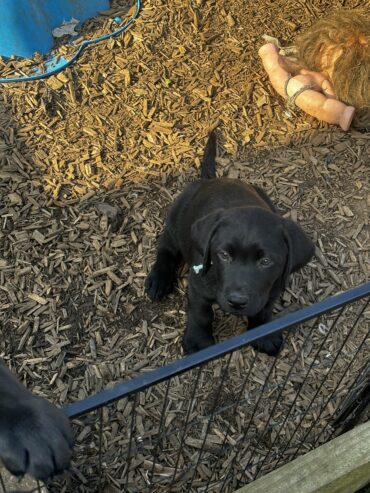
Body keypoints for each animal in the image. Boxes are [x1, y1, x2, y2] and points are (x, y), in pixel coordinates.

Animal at [146, 132, 314, 354]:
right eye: (224, 255)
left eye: (266, 262)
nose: (237, 301)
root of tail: (210, 180)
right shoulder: (198, 283)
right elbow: (201, 313)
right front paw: (198, 341)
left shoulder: (272, 289)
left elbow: (263, 311)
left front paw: (264, 335)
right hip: (176, 220)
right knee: (166, 248)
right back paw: (159, 279)